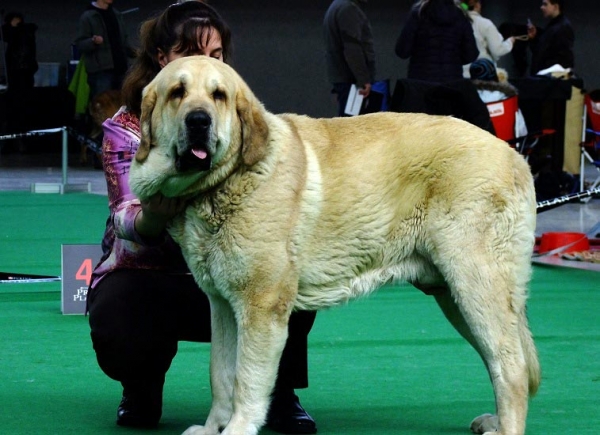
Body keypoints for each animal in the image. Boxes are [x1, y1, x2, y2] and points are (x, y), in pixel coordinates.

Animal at [129, 56, 540, 434]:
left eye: (219, 96)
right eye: (177, 92)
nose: (199, 121)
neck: (220, 185)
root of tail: (515, 157)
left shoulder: (261, 307)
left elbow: (247, 377)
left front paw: (238, 428)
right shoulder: (223, 306)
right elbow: (220, 374)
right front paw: (213, 427)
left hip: (476, 286)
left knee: (511, 366)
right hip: (455, 297)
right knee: (502, 361)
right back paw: (495, 422)